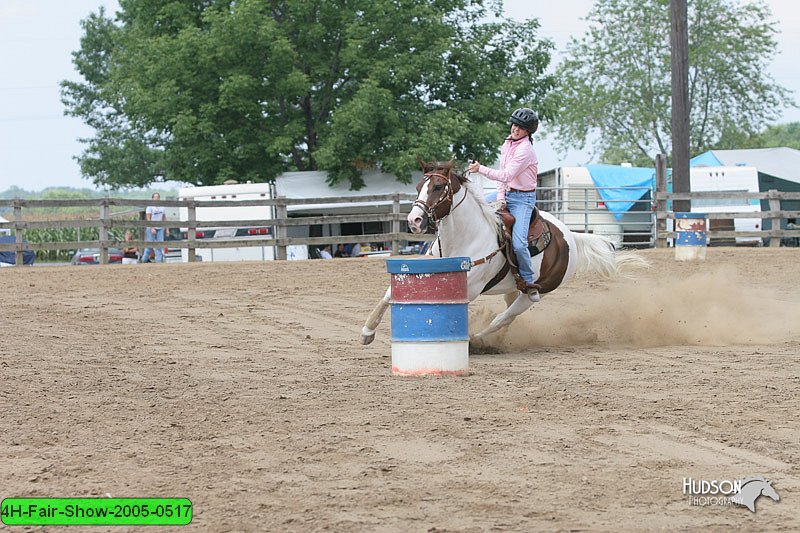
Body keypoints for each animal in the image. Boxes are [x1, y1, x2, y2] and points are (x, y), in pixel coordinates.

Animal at [360, 160, 648, 348]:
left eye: (438, 188)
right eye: (420, 184)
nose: (414, 220)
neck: (464, 237)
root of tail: (571, 237)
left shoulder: (470, 288)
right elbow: (389, 293)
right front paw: (367, 331)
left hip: (536, 292)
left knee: (504, 317)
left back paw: (479, 340)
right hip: (513, 287)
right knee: (508, 316)